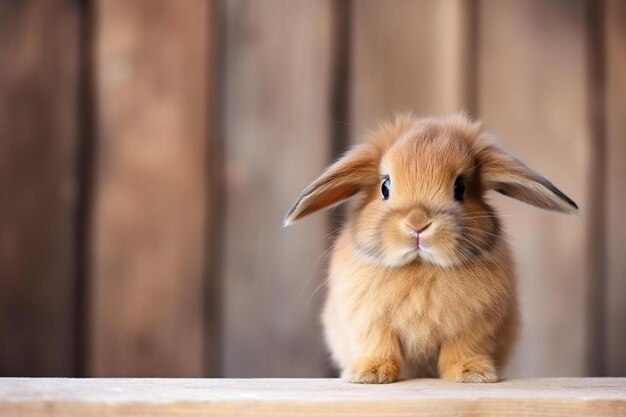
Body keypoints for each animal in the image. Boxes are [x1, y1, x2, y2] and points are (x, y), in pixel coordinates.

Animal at [282, 114, 576, 384]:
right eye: (385, 186)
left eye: (460, 187)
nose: (417, 224)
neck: (421, 266)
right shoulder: (370, 320)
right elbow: (380, 344)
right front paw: (369, 374)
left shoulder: (475, 324)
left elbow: (463, 347)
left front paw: (472, 374)